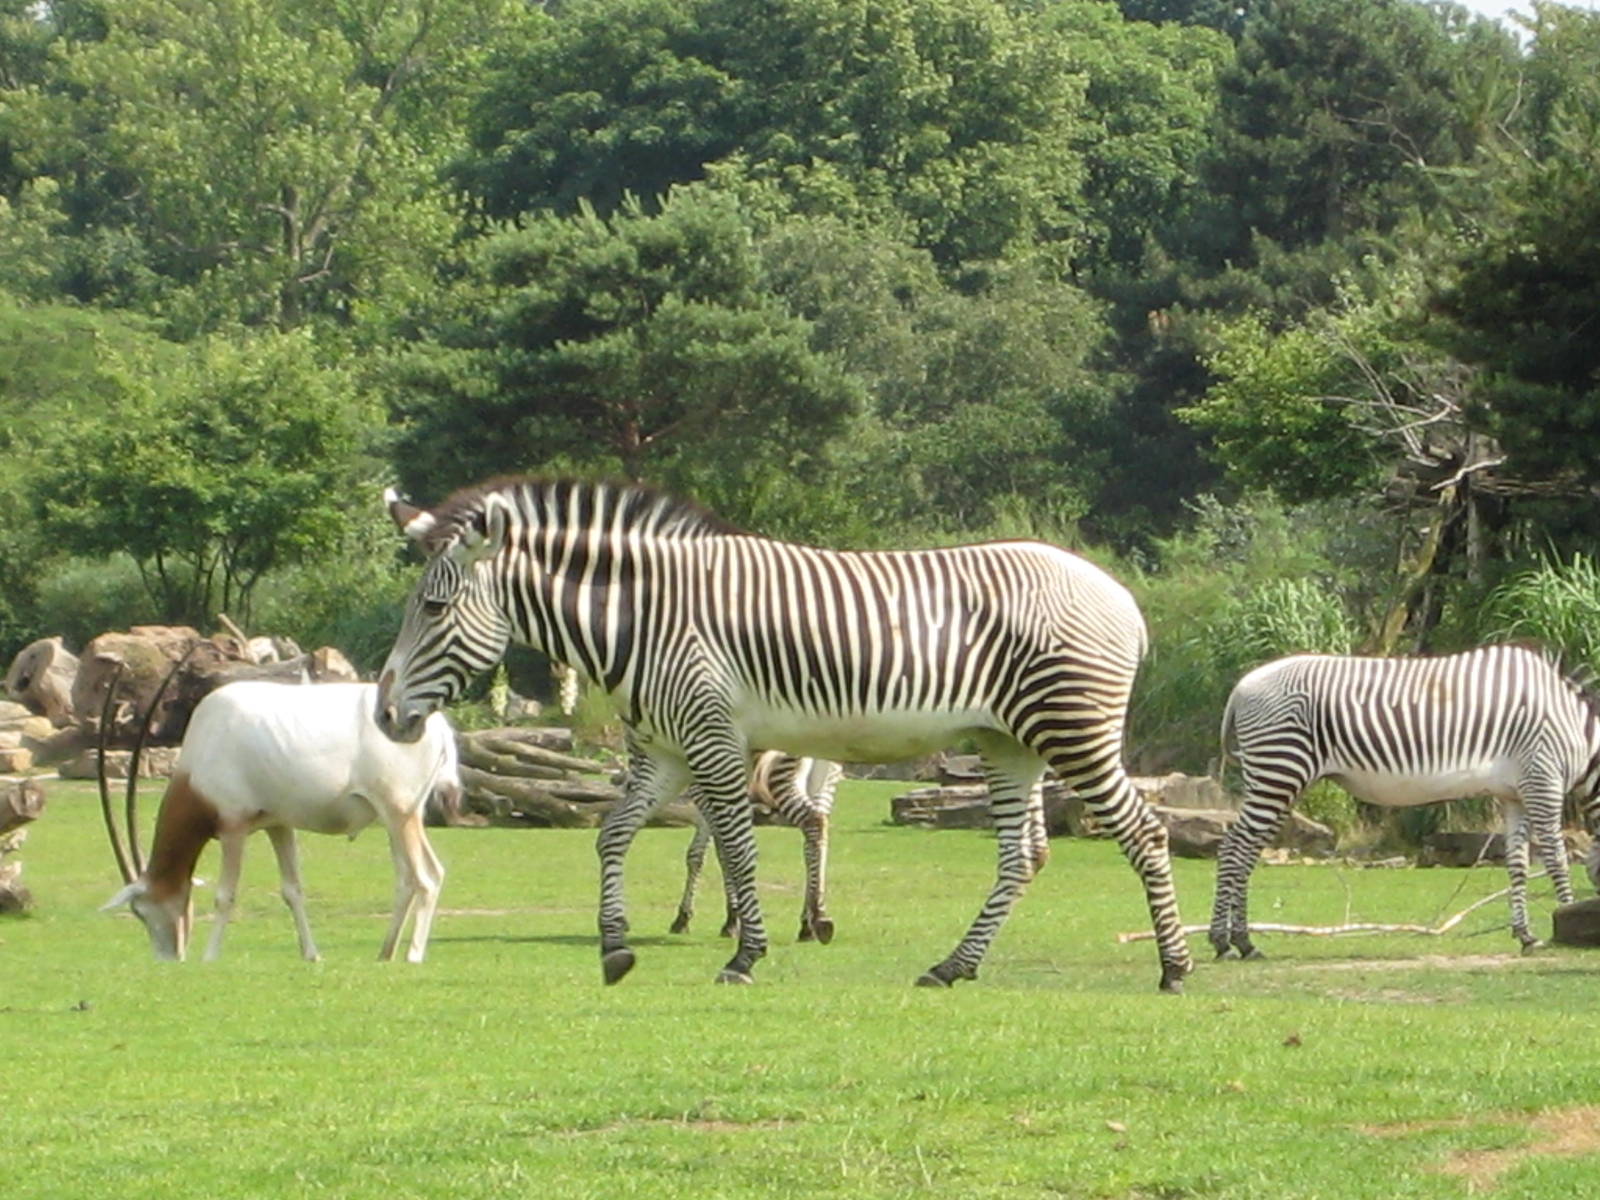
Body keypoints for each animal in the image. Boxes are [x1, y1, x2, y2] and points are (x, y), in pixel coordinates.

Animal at [671, 751, 843, 944]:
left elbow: (720, 853)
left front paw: (731, 920)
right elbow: (698, 854)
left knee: (812, 825)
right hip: (824, 784)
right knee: (815, 836)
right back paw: (811, 922)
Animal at [1213, 643, 1600, 960]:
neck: (1579, 733)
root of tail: (1241, 687)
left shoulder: (1514, 794)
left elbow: (1517, 864)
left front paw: (1527, 935)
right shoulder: (1543, 779)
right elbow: (1556, 856)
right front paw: (1565, 918)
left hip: (1275, 778)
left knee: (1245, 850)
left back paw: (1243, 942)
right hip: (1280, 769)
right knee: (1233, 847)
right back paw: (1224, 942)